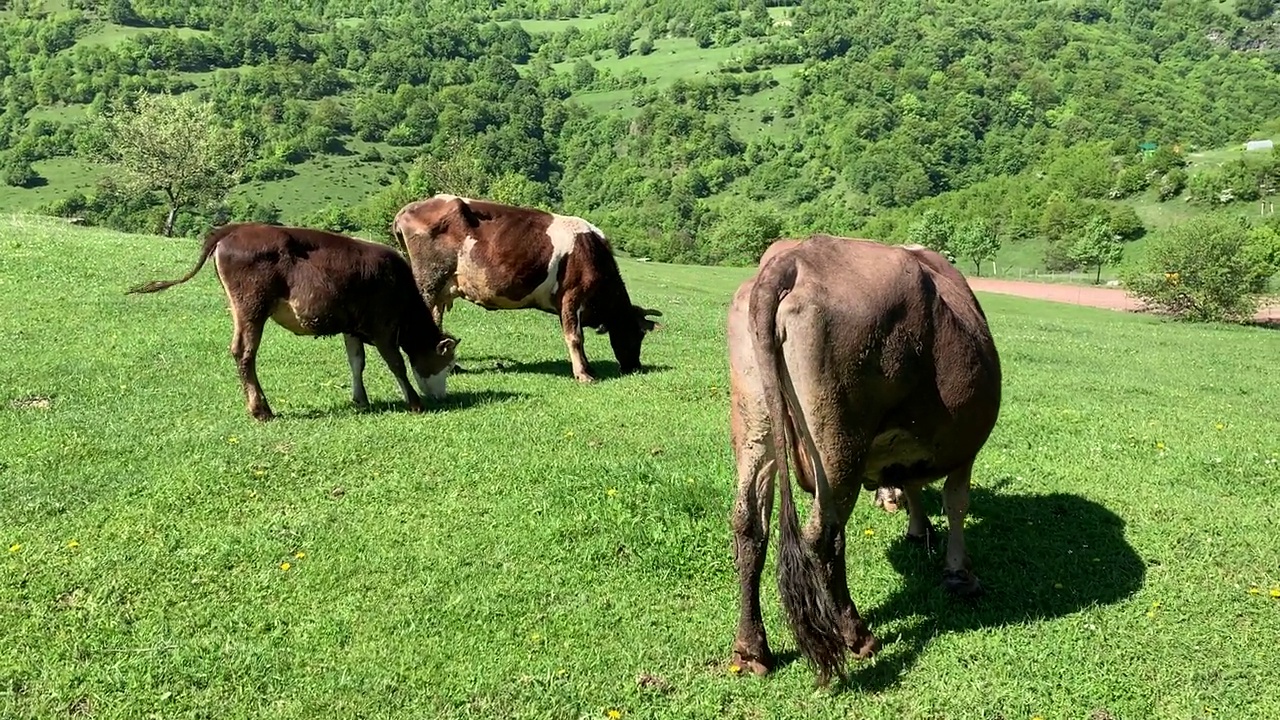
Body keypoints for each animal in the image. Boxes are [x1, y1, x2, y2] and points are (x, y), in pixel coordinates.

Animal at [124, 221, 463, 417]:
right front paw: (415, 402)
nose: (442, 397)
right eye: (447, 365)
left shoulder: (352, 327)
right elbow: (396, 364)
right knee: (245, 353)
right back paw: (261, 409)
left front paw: (361, 400)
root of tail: (233, 229)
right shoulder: (383, 326)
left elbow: (356, 362)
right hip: (252, 307)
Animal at [389, 190, 660, 381]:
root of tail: (409, 208)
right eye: (637, 334)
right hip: (428, 280)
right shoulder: (571, 296)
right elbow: (575, 337)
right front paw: (584, 375)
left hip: (441, 288)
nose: (635, 367)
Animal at [727, 234, 1003, 681]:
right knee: (823, 535)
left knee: (749, 525)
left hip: (755, 424)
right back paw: (856, 634)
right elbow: (956, 503)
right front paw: (959, 573)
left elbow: (914, 485)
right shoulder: (965, 451)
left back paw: (752, 648)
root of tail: (794, 260)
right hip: (839, 444)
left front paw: (918, 528)